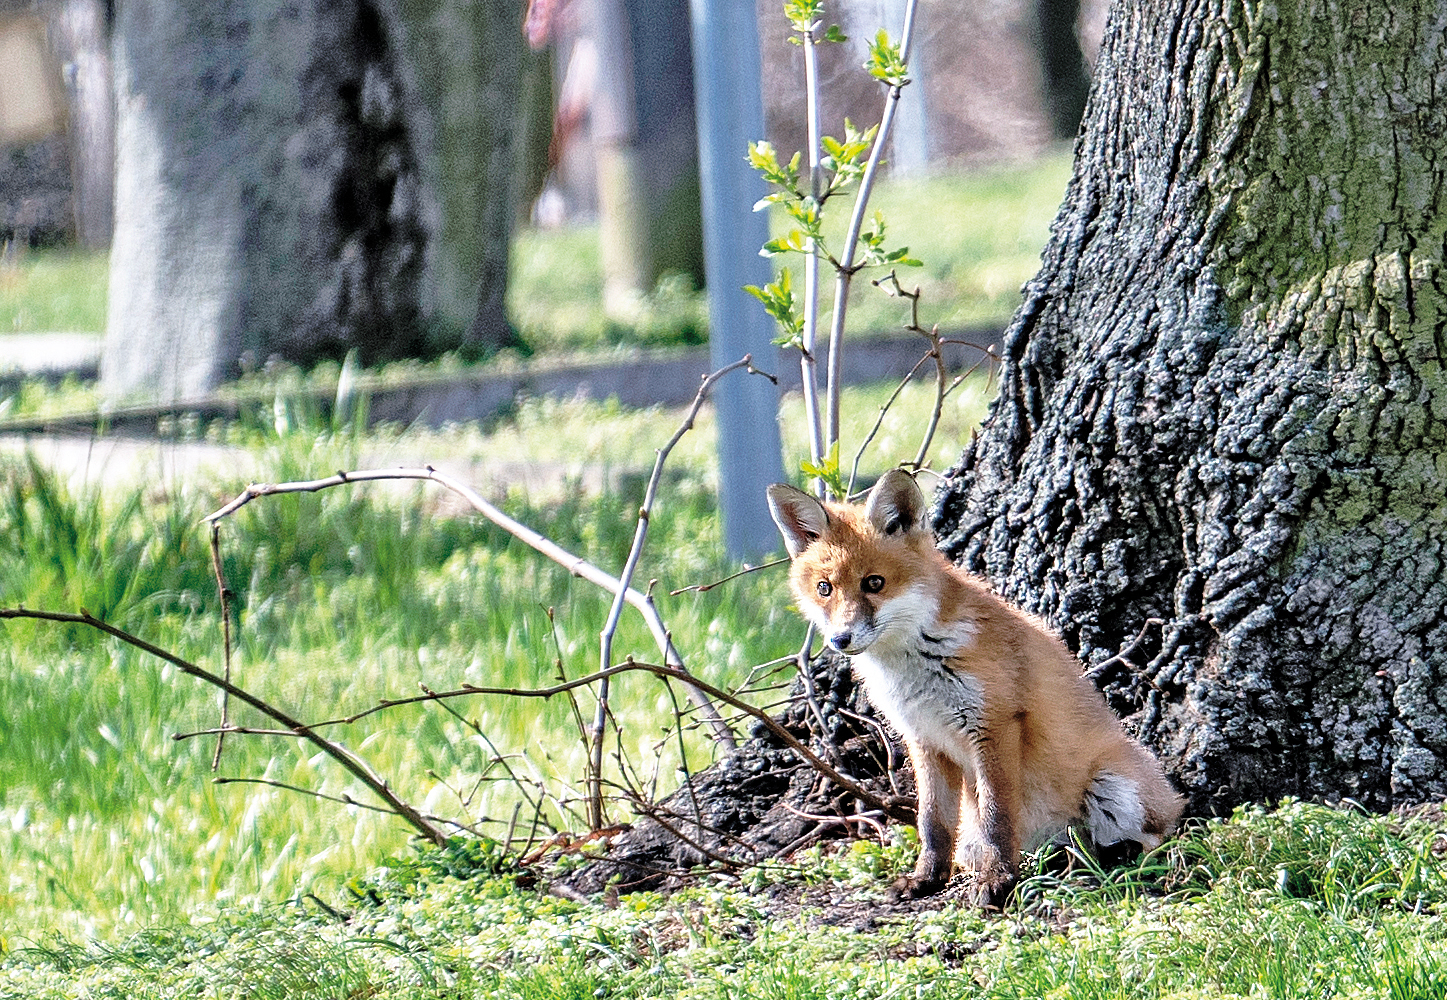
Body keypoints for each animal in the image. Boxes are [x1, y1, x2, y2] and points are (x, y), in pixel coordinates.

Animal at [766, 470, 1183, 907]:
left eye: (874, 583)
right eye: (824, 588)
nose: (840, 640)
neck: (915, 663)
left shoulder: (994, 725)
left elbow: (997, 817)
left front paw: (998, 881)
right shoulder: (923, 739)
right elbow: (932, 823)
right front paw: (926, 879)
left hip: (1114, 787)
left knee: (1154, 837)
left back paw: (1112, 857)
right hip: (991, 834)